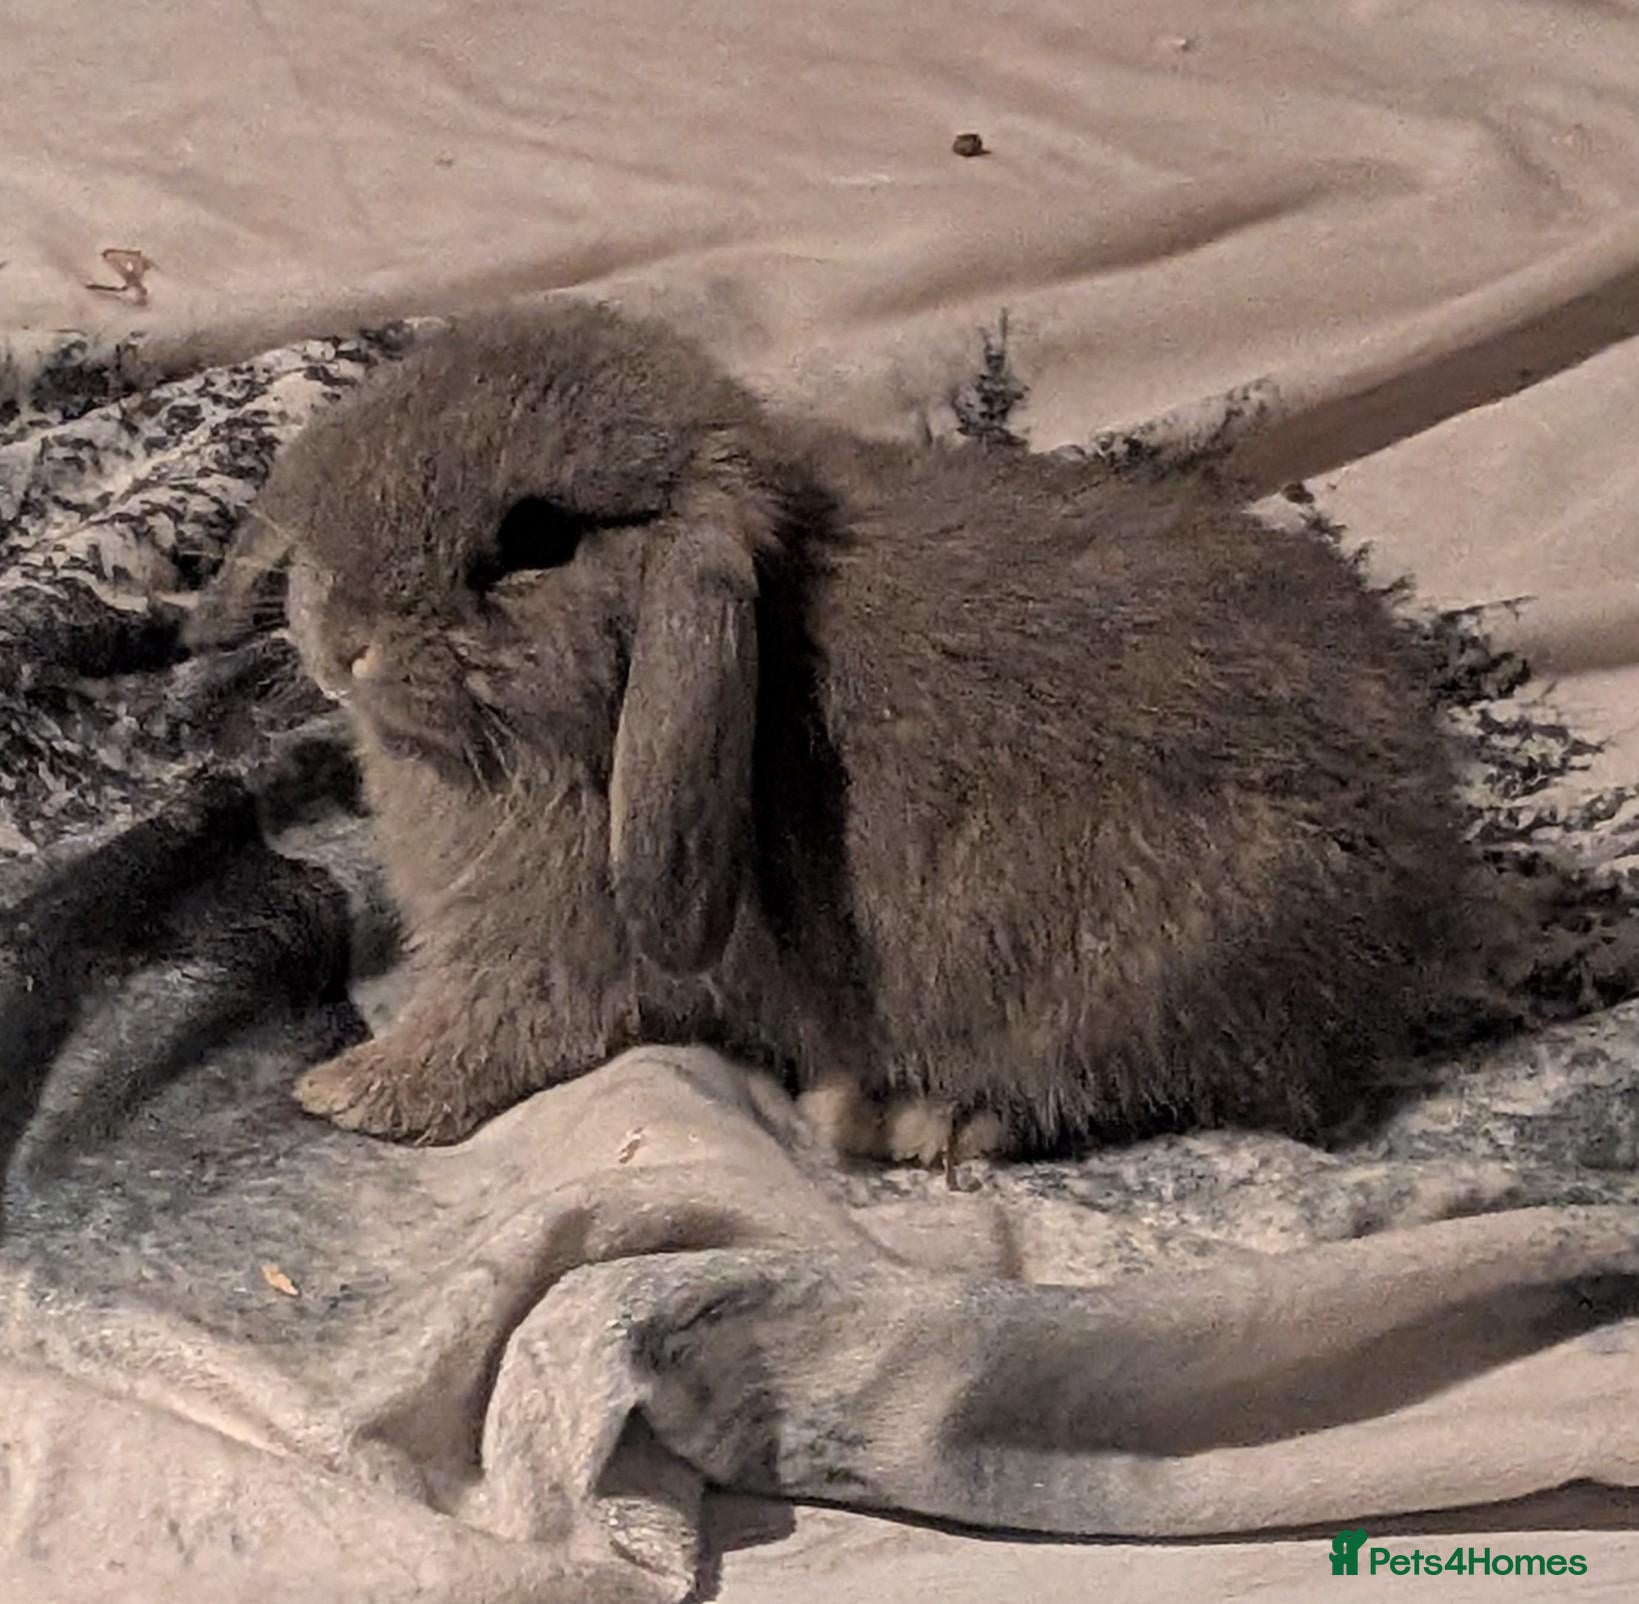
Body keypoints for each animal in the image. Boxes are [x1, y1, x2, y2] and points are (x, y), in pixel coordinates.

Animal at [233, 296, 1487, 1161]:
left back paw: (911, 1114)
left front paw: (348, 1089)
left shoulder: (547, 954)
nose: (334, 631)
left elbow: (488, 1033)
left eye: (535, 537)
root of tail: (1419, 885)